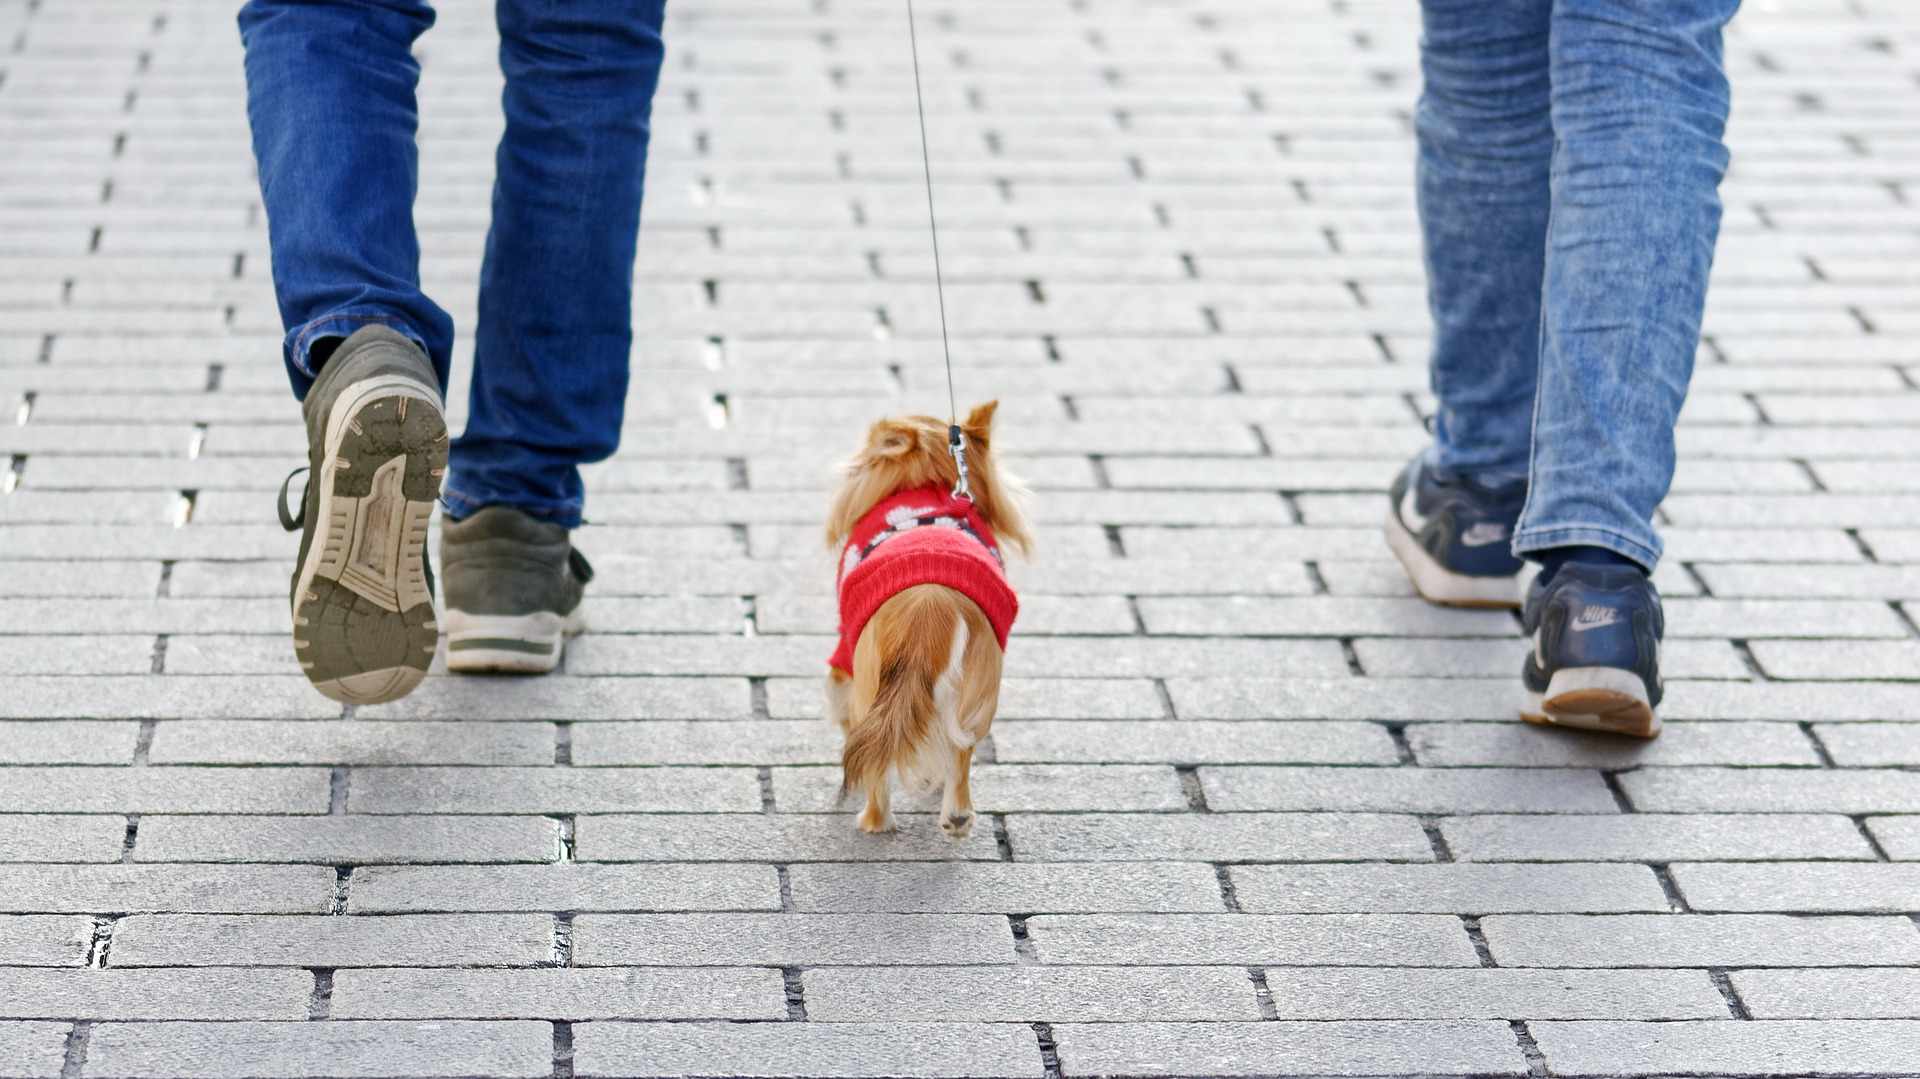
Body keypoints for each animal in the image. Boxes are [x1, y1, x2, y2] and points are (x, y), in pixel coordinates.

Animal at [825, 399, 1036, 837]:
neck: (927, 482)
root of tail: (930, 611)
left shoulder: (842, 661)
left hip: (868, 686)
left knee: (879, 769)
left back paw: (874, 821)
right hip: (979, 696)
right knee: (961, 751)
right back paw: (956, 817)